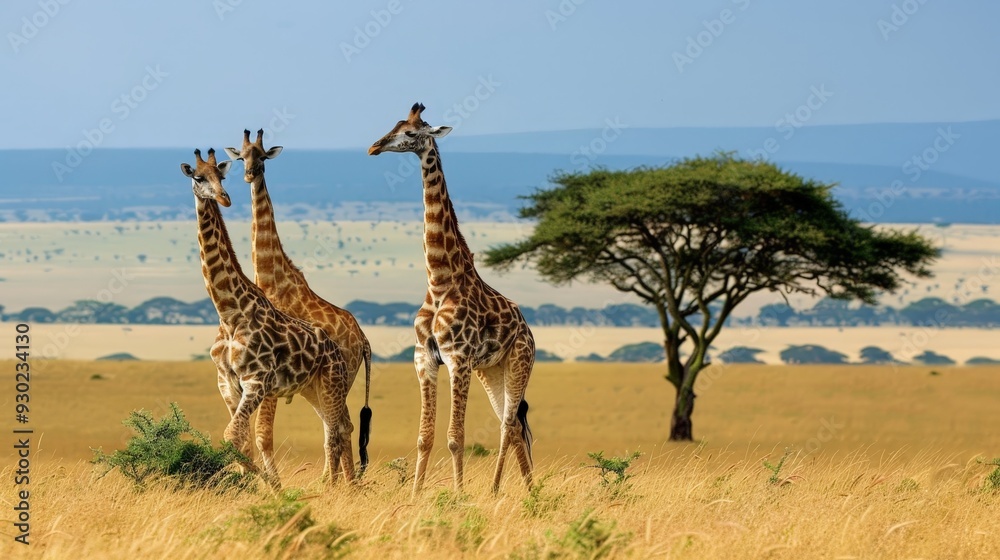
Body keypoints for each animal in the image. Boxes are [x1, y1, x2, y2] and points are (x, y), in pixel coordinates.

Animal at [180, 148, 356, 488]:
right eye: (198, 177)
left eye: (221, 176)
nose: (224, 198)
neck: (229, 312)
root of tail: (338, 351)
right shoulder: (227, 383)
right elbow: (240, 440)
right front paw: (251, 487)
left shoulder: (257, 381)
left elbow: (234, 436)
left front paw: (273, 487)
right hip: (313, 389)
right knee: (335, 428)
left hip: (332, 383)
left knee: (336, 432)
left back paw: (330, 489)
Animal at [369, 103, 535, 494]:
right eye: (394, 125)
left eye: (411, 133)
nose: (374, 147)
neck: (439, 280)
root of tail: (529, 331)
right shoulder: (423, 359)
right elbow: (424, 437)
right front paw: (415, 495)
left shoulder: (458, 359)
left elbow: (455, 436)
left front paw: (458, 495)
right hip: (492, 370)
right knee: (513, 425)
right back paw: (527, 489)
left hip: (520, 362)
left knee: (509, 425)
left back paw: (496, 489)